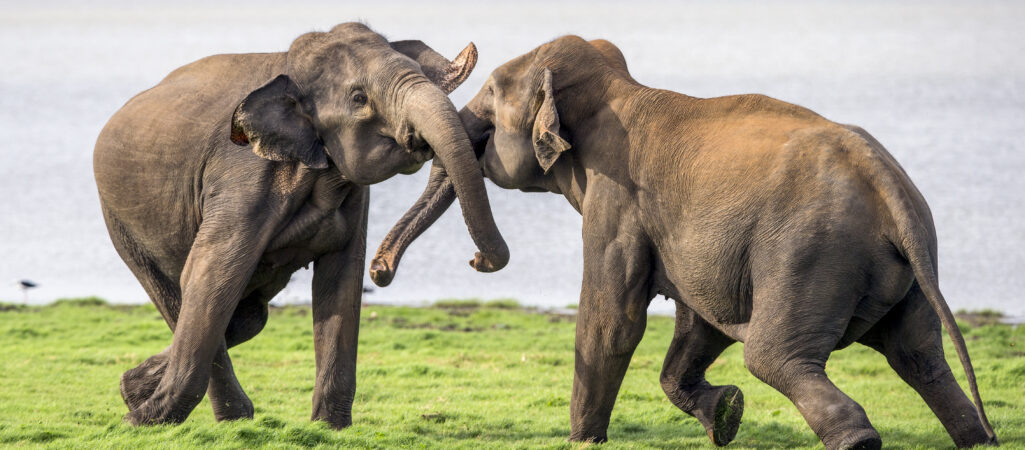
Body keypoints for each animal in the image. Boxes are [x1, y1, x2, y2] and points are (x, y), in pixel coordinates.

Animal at [94, 22, 510, 430]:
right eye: (359, 98)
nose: (381, 270)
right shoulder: (241, 179)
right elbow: (211, 273)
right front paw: (138, 423)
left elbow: (340, 281)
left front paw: (329, 428)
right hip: (123, 226)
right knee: (186, 298)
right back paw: (204, 414)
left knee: (247, 319)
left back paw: (136, 390)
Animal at [373, 36, 996, 448]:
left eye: (491, 92)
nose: (379, 273)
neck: (619, 88)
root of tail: (886, 181)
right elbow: (700, 323)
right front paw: (726, 415)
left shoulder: (616, 199)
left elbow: (612, 320)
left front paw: (582, 440)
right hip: (901, 267)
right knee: (920, 358)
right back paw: (977, 437)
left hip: (810, 254)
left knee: (774, 355)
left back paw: (858, 439)